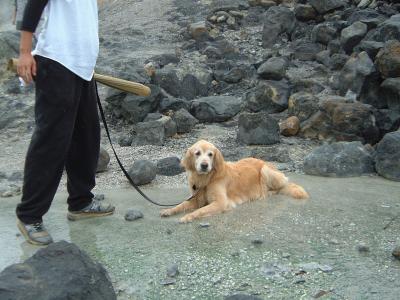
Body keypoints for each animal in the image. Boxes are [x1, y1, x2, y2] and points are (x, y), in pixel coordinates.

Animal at [160, 140, 310, 223]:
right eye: (197, 153)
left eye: (210, 154)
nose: (204, 165)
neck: (207, 178)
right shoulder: (196, 199)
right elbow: (181, 205)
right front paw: (169, 210)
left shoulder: (221, 202)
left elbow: (201, 211)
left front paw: (188, 217)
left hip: (266, 171)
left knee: (281, 186)